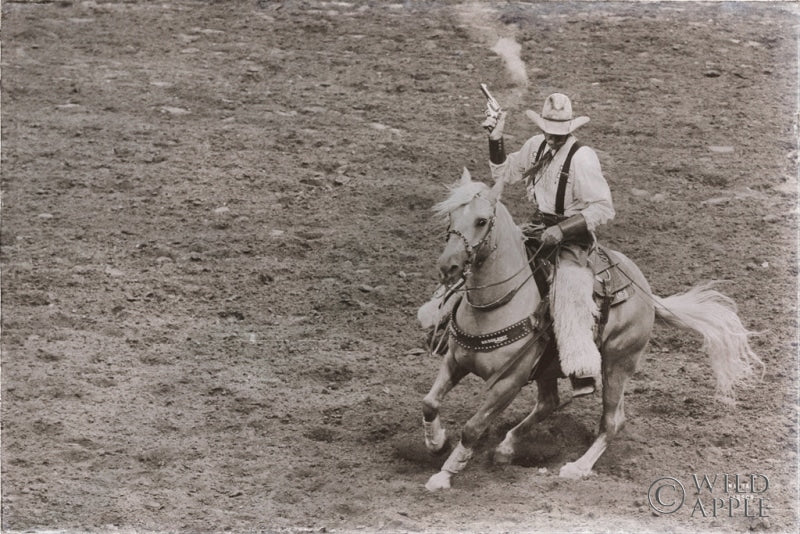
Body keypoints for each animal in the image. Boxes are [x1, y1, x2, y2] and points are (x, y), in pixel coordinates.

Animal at [418, 171, 764, 494]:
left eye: (481, 221)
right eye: (450, 216)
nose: (448, 267)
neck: (495, 304)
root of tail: (646, 292)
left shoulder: (508, 382)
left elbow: (472, 428)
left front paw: (444, 475)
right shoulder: (455, 361)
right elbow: (430, 402)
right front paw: (436, 442)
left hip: (616, 364)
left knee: (612, 421)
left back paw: (578, 467)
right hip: (549, 368)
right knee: (549, 403)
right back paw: (506, 447)